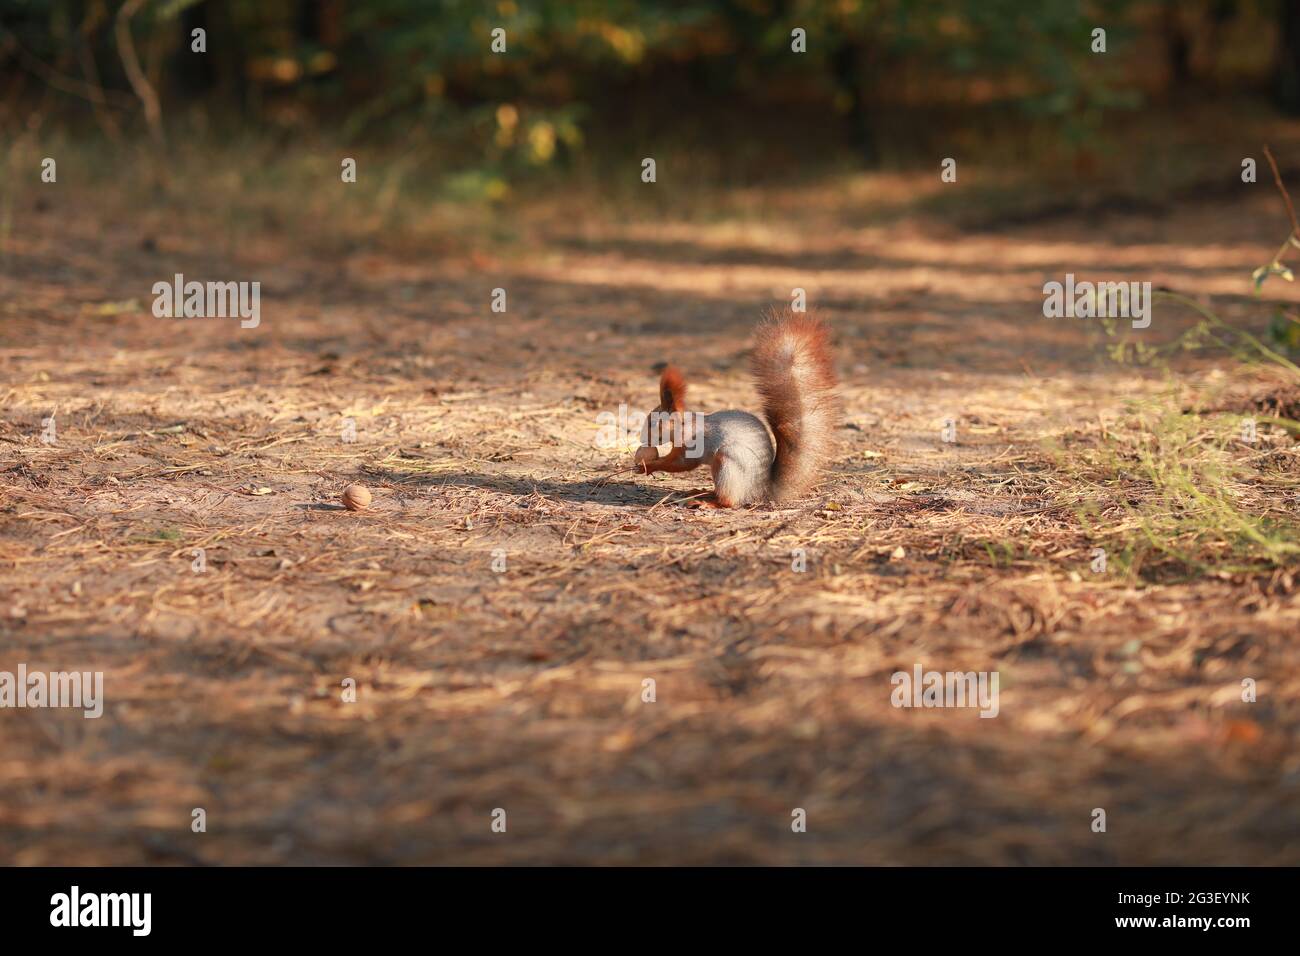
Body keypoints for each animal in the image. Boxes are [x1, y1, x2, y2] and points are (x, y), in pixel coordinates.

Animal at [631, 308, 840, 508]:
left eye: (653, 423)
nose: (642, 440)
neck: (686, 426)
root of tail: (760, 492)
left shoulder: (693, 445)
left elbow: (681, 464)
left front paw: (648, 465)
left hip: (727, 465)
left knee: (728, 501)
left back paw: (707, 502)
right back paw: (702, 492)